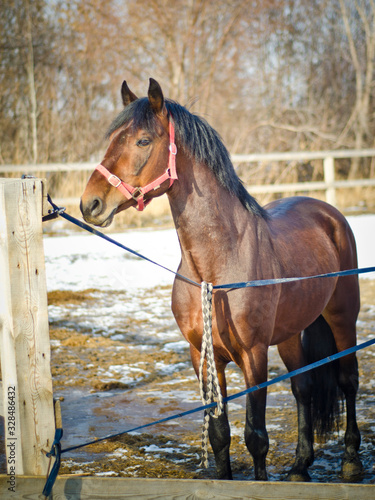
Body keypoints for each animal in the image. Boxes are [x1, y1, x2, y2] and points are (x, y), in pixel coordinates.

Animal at [80, 78, 364, 480]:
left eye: (143, 141)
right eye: (112, 139)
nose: (90, 204)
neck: (215, 269)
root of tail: (328, 212)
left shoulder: (253, 355)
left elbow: (256, 436)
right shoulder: (203, 355)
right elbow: (219, 434)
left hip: (342, 318)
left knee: (347, 380)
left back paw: (351, 459)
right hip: (290, 333)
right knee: (303, 387)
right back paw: (299, 465)